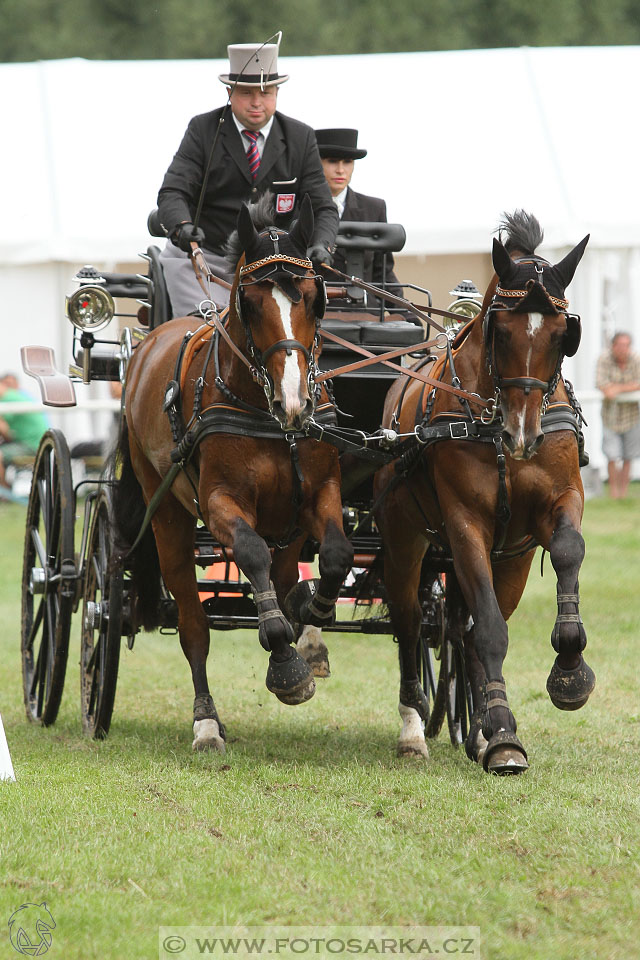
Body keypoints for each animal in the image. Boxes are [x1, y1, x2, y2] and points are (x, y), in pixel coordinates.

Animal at [115, 193, 356, 752]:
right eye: (251, 303)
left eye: (314, 298)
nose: (294, 402)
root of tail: (146, 346)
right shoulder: (222, 501)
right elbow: (248, 554)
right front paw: (285, 662)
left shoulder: (321, 492)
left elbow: (335, 554)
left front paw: (310, 615)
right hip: (168, 516)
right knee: (192, 622)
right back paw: (207, 722)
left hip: (286, 521)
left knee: (287, 570)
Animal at [376, 208, 596, 772]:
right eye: (501, 331)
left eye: (563, 334)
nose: (523, 435)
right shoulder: (464, 525)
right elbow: (491, 630)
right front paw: (502, 736)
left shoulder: (551, 511)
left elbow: (567, 550)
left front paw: (569, 670)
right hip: (406, 539)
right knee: (411, 623)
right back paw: (413, 725)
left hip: (509, 558)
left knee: (464, 631)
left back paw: (477, 728)